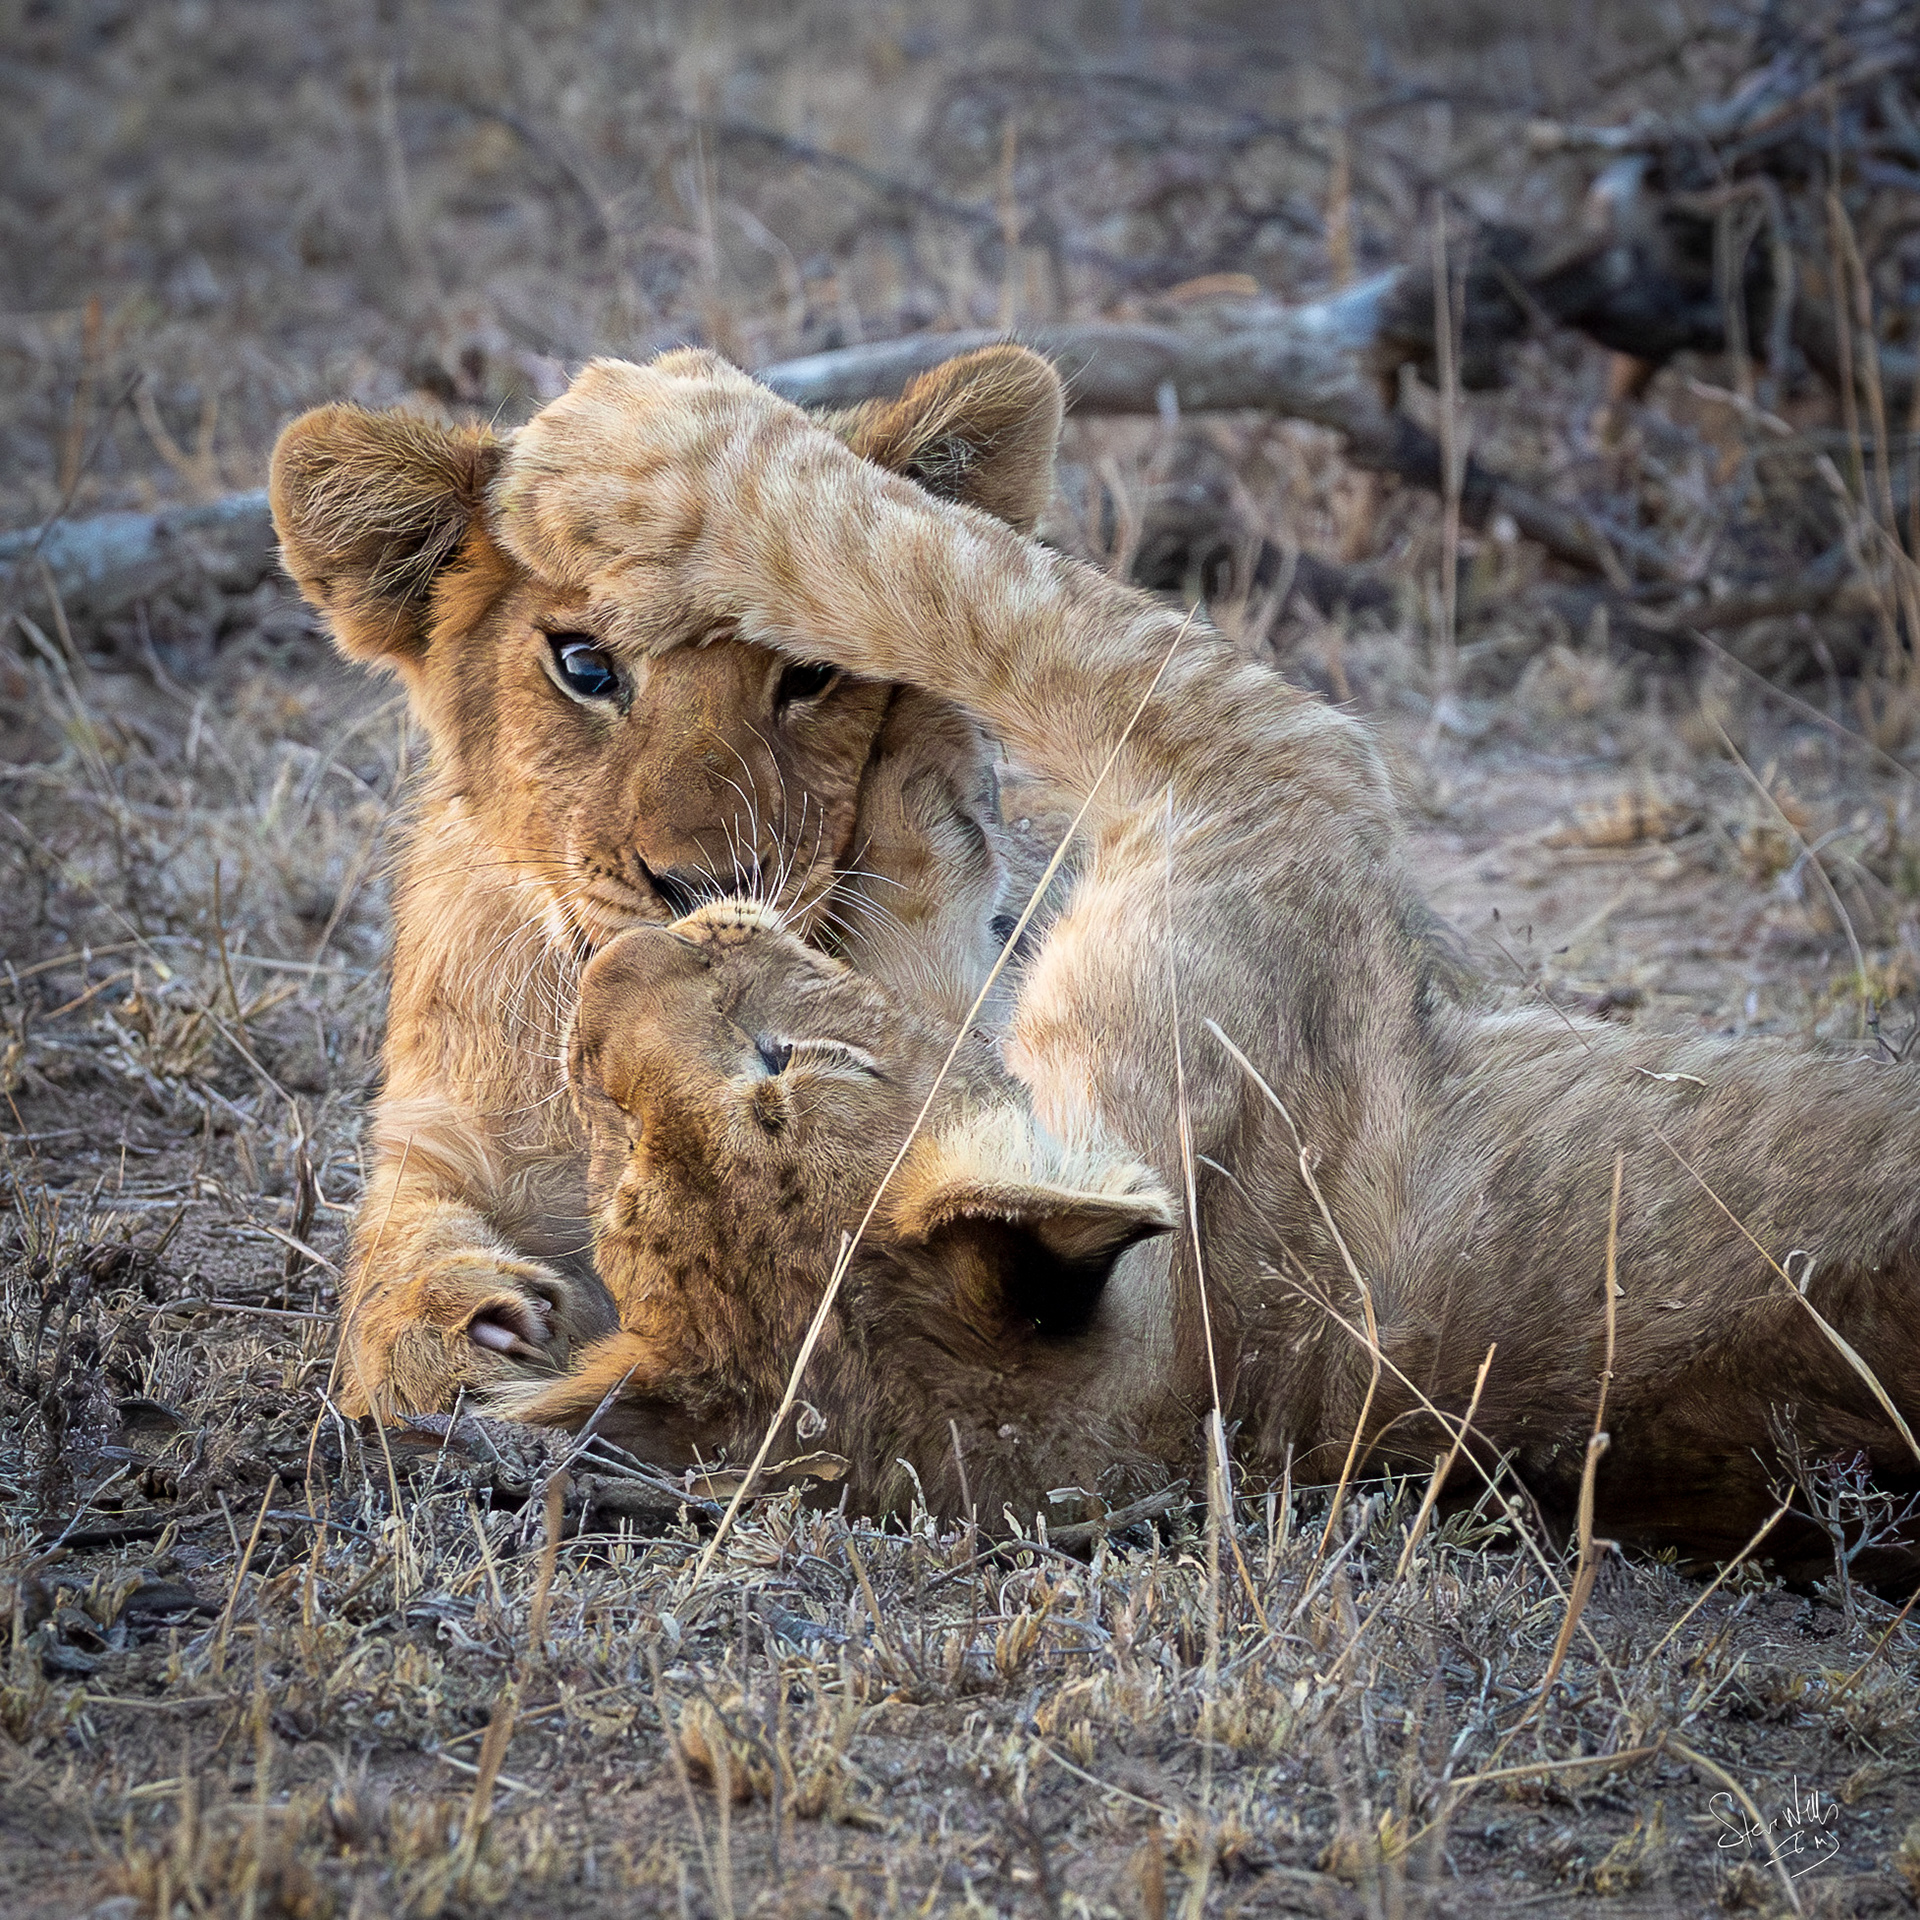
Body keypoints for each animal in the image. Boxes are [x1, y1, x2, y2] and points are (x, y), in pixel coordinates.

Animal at [268, 346, 1068, 1418]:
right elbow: (389, 1247)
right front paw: (449, 1323)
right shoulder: (435, 1136)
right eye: (585, 665)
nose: (707, 885)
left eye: (809, 670)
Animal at [502, 348, 1920, 1582]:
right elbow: (929, 572)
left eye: (786, 1060)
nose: (621, 963)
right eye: (627, 1123)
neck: (1212, 1396)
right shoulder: (1262, 770)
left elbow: (928, 618)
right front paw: (627, 424)